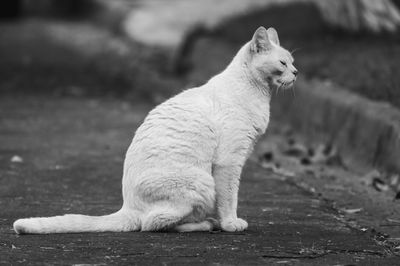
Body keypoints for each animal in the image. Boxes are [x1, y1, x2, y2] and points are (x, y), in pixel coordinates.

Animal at [14, 26, 296, 234]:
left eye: (293, 63)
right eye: (283, 63)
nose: (295, 73)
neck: (257, 93)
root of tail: (127, 205)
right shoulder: (230, 162)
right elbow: (230, 199)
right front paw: (231, 224)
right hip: (203, 181)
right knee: (152, 224)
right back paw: (206, 224)